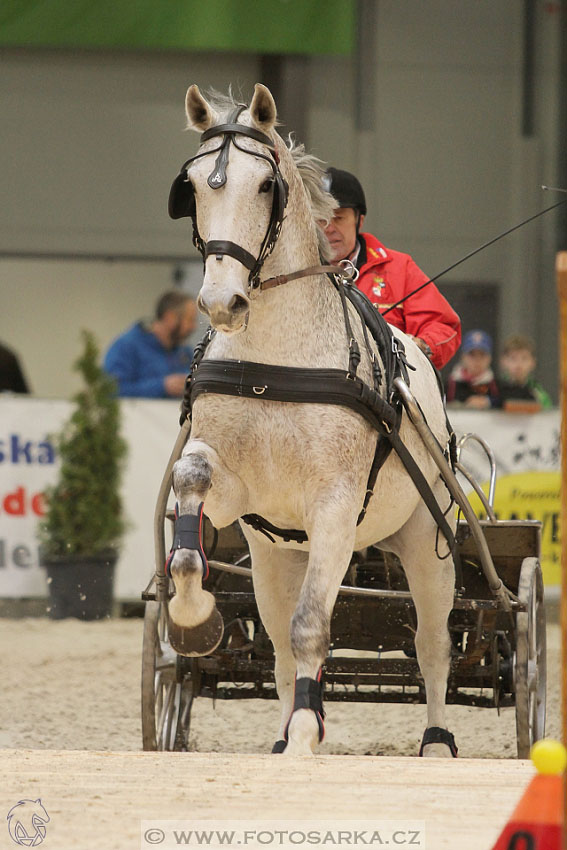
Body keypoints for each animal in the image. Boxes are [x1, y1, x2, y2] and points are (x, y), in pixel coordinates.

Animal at [168, 84, 458, 756]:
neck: (275, 359)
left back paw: (436, 741)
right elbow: (191, 509)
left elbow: (311, 628)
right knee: (275, 643)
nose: (222, 302)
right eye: (192, 186)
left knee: (432, 645)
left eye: (264, 187)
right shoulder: (236, 492)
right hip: (277, 552)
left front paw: (304, 736)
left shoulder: (335, 505)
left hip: (425, 544)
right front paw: (193, 619)